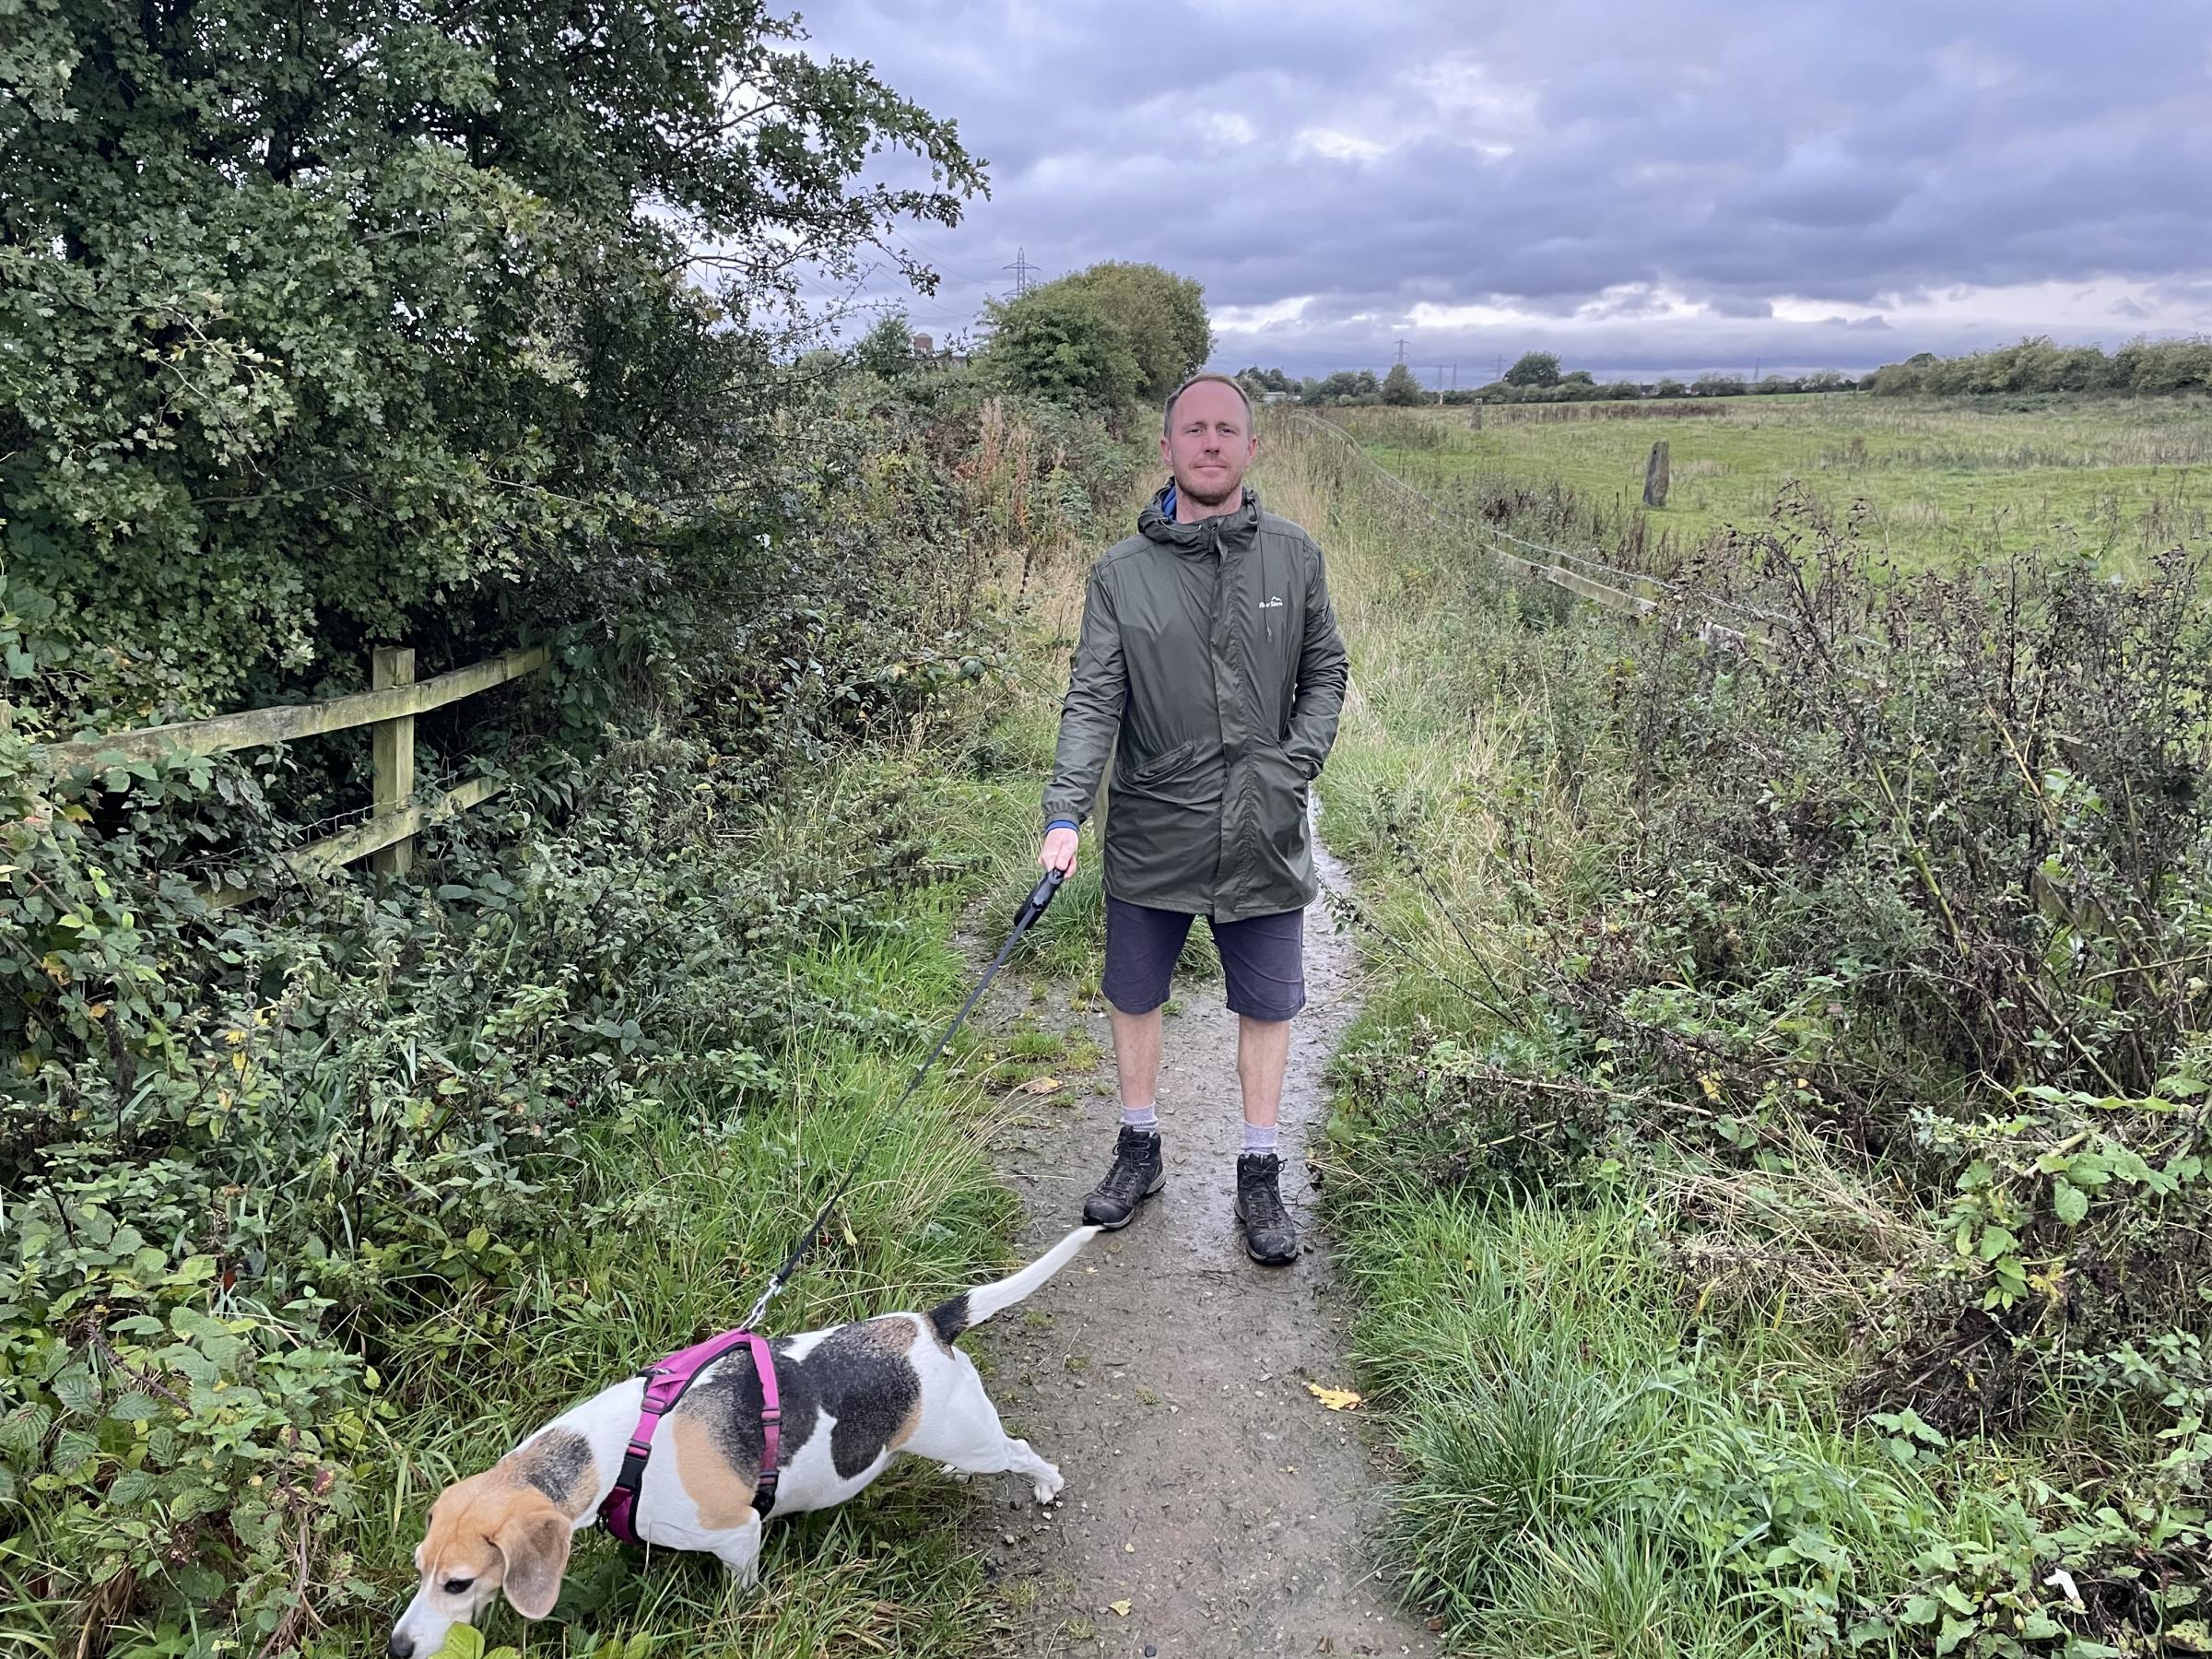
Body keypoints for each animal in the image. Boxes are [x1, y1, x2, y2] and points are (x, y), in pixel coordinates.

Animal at [394, 1230, 1101, 1654]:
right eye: (419, 1568)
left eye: (457, 1584)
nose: (398, 1647)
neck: (615, 1454)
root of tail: (933, 1322)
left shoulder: (739, 1535)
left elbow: (743, 1590)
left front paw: (740, 1617)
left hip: (976, 1438)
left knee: (1022, 1451)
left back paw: (1045, 1484)